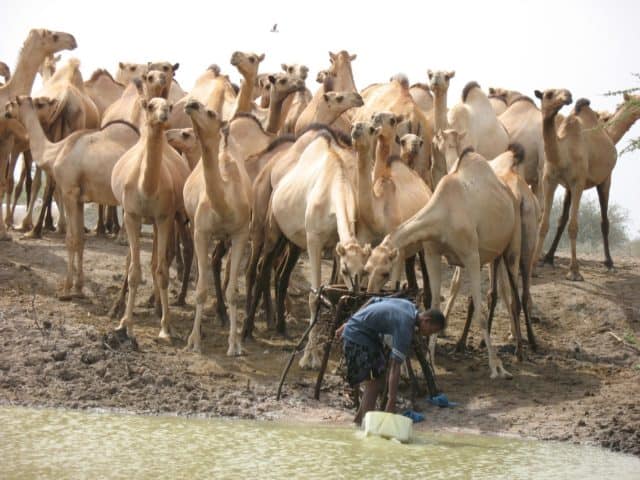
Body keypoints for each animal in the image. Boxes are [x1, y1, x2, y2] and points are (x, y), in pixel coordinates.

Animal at [110, 95, 190, 340]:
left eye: (169, 106)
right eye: (151, 106)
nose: (163, 115)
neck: (146, 187)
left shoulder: (163, 217)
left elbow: (162, 270)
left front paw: (165, 327)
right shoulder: (132, 215)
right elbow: (134, 271)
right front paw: (125, 324)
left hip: (162, 220)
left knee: (158, 260)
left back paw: (157, 307)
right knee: (130, 260)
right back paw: (117, 307)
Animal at [362, 144, 524, 376]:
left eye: (385, 272)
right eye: (366, 269)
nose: (369, 293)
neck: (443, 214)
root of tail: (511, 194)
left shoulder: (471, 256)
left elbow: (481, 313)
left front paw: (496, 366)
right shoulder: (432, 253)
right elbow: (436, 305)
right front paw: (430, 358)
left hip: (513, 246)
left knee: (514, 296)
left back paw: (519, 351)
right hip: (496, 254)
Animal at [536, 89, 620, 282]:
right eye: (549, 94)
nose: (567, 96)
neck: (563, 153)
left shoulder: (578, 183)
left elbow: (574, 226)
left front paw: (574, 271)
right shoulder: (549, 180)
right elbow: (544, 223)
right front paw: (534, 265)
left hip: (605, 179)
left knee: (604, 220)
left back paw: (609, 263)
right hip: (568, 187)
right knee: (562, 219)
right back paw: (548, 258)